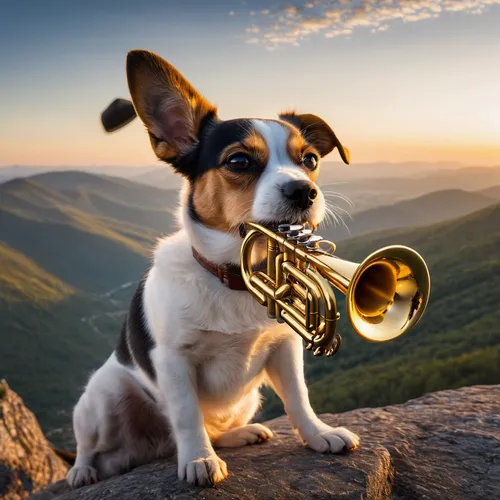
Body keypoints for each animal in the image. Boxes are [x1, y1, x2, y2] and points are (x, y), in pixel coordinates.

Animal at [66, 49, 358, 488]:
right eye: (239, 160)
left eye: (309, 159)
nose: (305, 191)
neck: (234, 281)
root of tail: (151, 449)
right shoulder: (173, 361)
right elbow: (188, 416)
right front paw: (199, 460)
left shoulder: (285, 348)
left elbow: (299, 398)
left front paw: (319, 435)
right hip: (103, 396)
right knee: (90, 444)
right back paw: (83, 470)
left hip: (249, 396)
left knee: (218, 429)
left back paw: (241, 434)